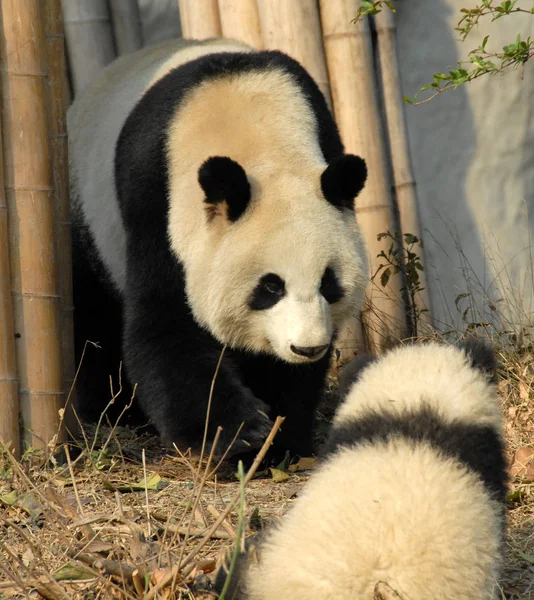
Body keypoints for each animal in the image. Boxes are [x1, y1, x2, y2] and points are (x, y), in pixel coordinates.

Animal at [68, 38, 368, 460]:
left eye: (329, 282)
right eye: (270, 286)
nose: (306, 347)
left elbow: (289, 372)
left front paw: (280, 436)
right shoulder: (154, 203)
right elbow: (164, 325)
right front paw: (237, 432)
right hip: (86, 215)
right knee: (95, 318)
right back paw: (114, 412)